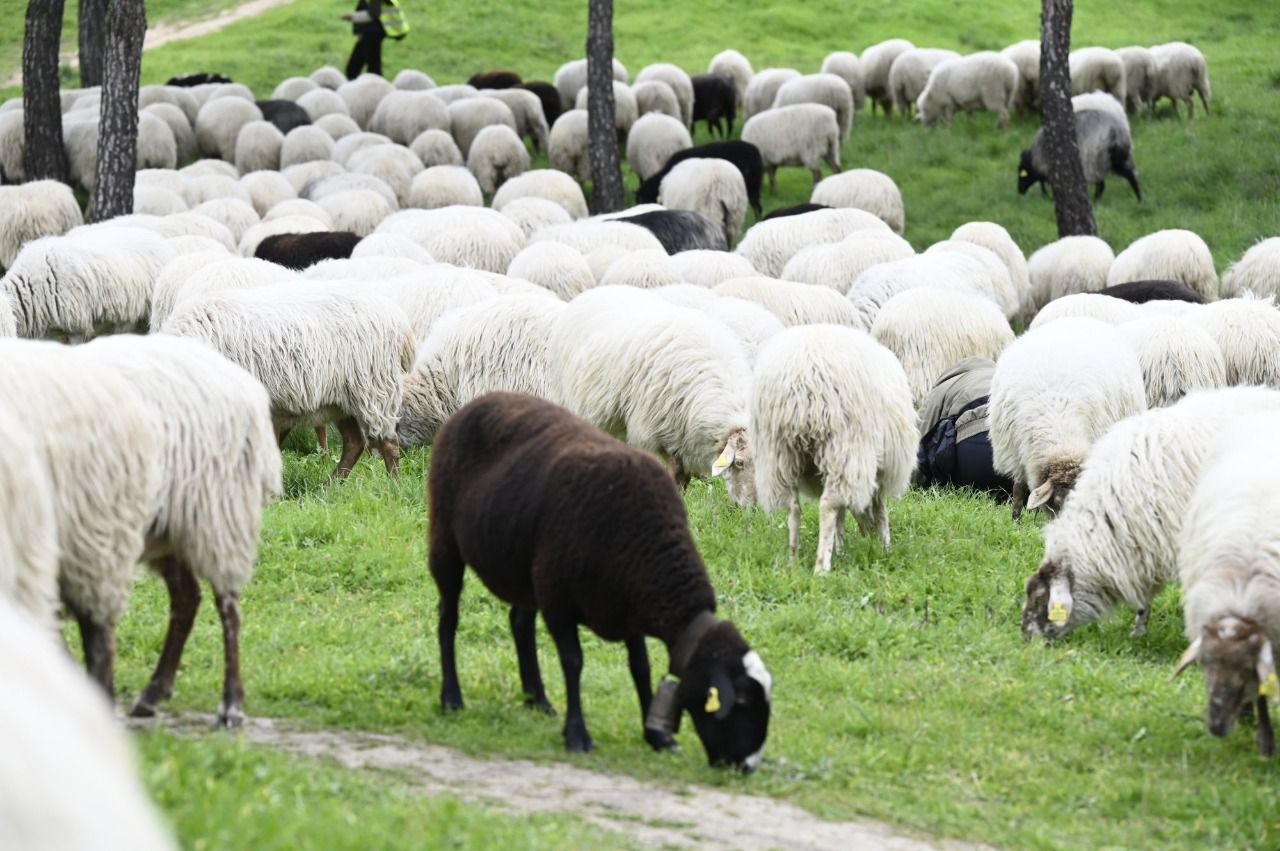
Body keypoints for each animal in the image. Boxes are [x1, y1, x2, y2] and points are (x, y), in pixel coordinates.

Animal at [80, 335, 281, 725]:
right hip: (167, 528)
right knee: (188, 598)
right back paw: (152, 694)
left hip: (215, 514)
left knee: (227, 606)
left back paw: (231, 705)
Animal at [163, 285, 413, 478]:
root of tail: (400, 321)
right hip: (342, 399)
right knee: (354, 442)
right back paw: (332, 484)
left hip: (373, 389)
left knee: (388, 442)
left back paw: (394, 485)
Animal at [428, 391, 772, 767]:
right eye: (741, 703)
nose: (746, 767)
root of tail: (481, 400)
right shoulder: (560, 601)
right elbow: (574, 662)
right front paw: (577, 734)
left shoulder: (629, 604)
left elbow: (640, 667)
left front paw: (655, 736)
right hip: (446, 540)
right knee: (448, 617)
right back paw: (451, 697)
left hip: (529, 570)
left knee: (519, 622)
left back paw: (538, 699)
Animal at [548, 288, 754, 498]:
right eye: (739, 462)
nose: (750, 504)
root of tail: (596, 290)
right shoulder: (651, 434)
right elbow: (672, 472)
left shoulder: (681, 435)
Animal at [751, 324, 917, 572]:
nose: (867, 535)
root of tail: (801, 383)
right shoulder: (878, 473)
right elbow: (879, 512)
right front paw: (886, 548)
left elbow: (843, 514)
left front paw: (841, 550)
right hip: (844, 445)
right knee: (827, 506)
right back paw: (821, 567)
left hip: (779, 455)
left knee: (794, 507)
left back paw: (793, 559)